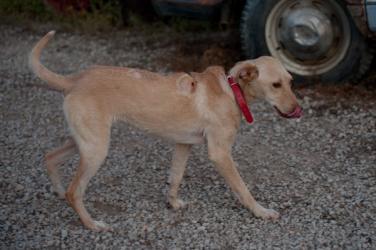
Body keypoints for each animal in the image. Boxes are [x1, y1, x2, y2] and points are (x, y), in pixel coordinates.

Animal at [30, 31, 304, 232]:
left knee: (49, 157)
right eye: (275, 85)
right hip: (96, 149)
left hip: (84, 142)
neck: (231, 92)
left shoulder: (183, 145)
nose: (298, 110)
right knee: (74, 191)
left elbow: (175, 177)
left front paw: (173, 203)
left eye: (291, 82)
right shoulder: (220, 154)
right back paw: (91, 224)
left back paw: (57, 190)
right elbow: (243, 189)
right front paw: (261, 212)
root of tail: (76, 79)